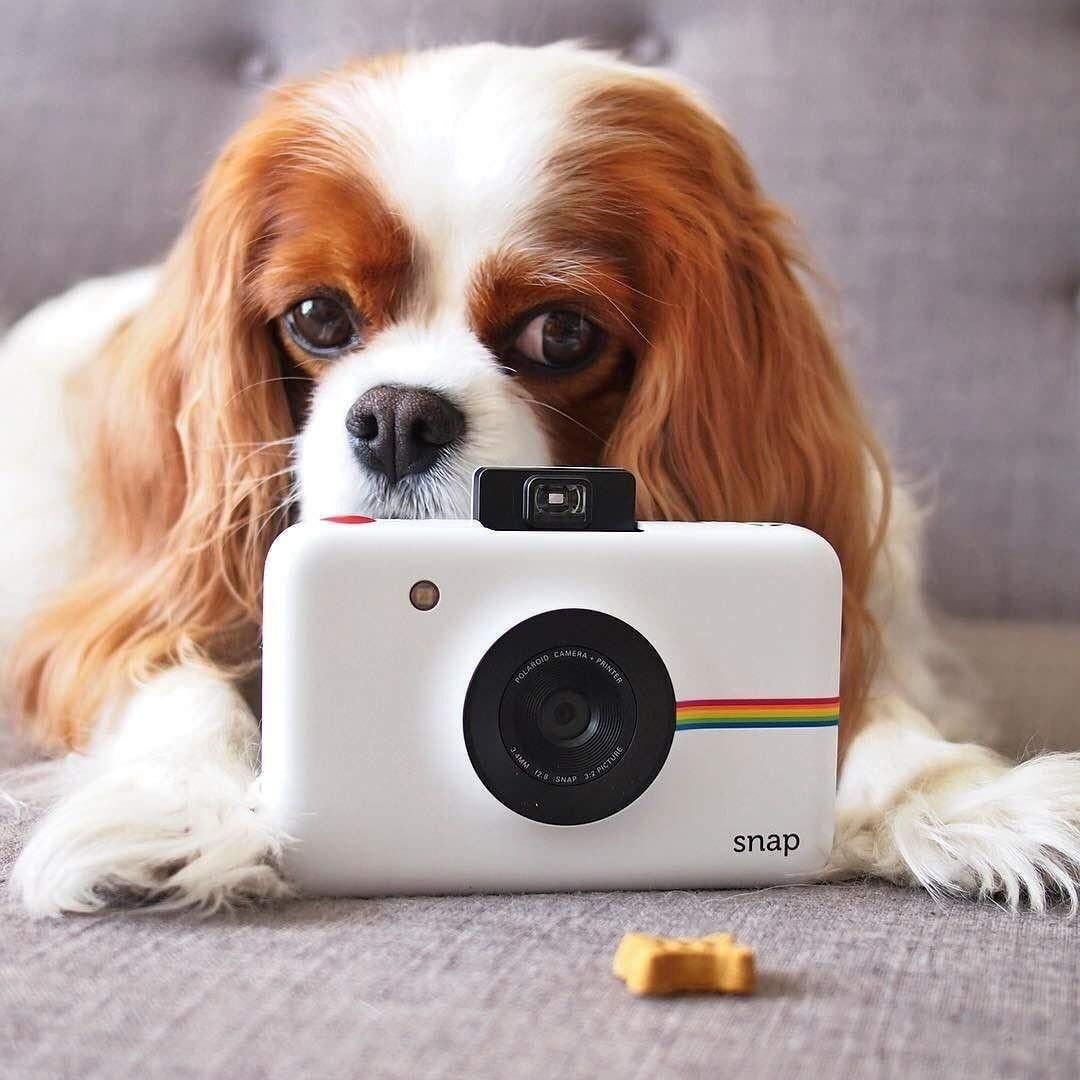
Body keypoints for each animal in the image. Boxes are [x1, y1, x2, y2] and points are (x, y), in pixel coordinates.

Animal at [2, 46, 1080, 915]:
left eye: (561, 332)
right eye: (318, 316)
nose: (399, 417)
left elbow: (873, 700)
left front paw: (958, 794)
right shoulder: (129, 601)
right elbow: (169, 672)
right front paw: (170, 812)